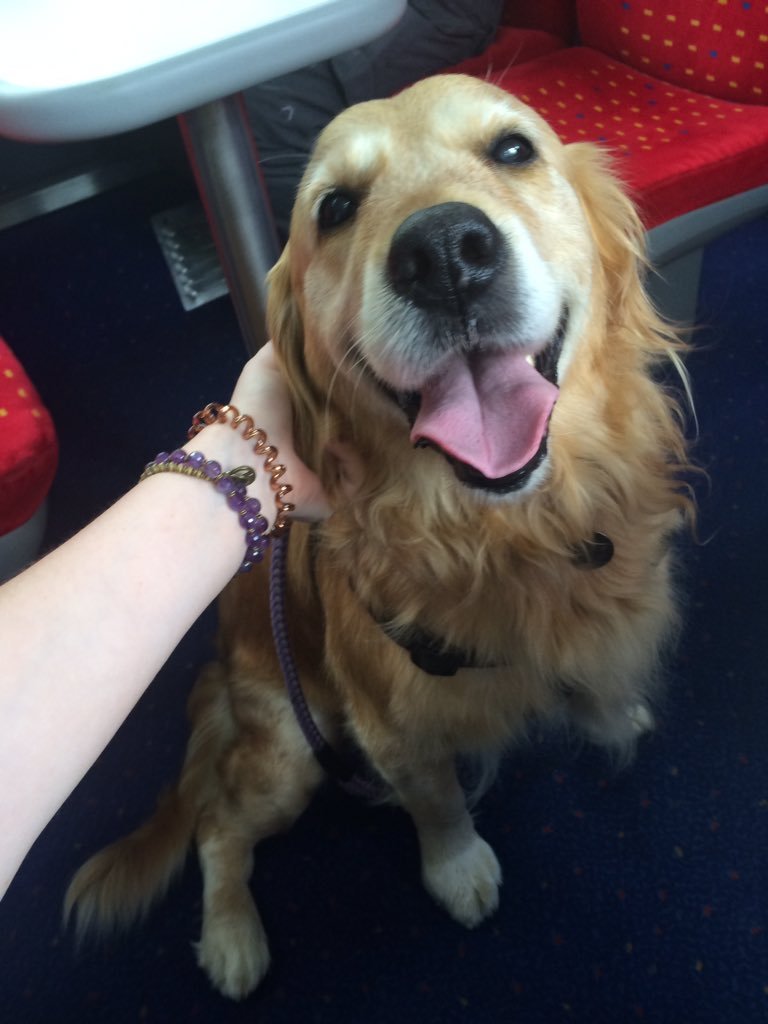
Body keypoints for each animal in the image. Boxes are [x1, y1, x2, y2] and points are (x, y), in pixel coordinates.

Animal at [64, 77, 692, 999]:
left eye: (514, 149)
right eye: (334, 207)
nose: (445, 254)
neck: (505, 531)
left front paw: (611, 712)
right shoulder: (389, 726)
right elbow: (438, 802)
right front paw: (459, 868)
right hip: (292, 752)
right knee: (218, 823)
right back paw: (232, 938)